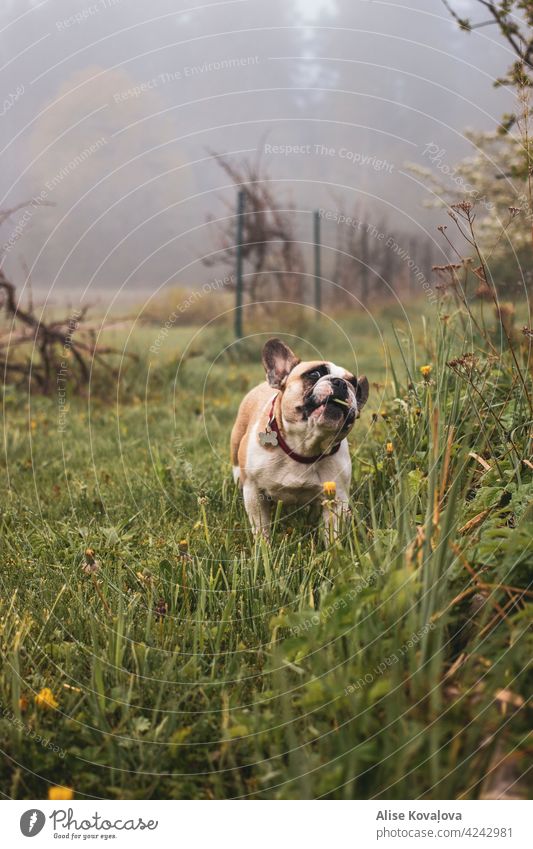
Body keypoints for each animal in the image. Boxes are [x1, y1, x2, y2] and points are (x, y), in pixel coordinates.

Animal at [231, 338, 368, 536]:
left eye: (354, 385)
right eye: (315, 373)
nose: (341, 383)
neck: (303, 448)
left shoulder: (337, 498)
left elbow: (332, 533)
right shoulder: (254, 491)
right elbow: (261, 527)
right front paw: (263, 544)